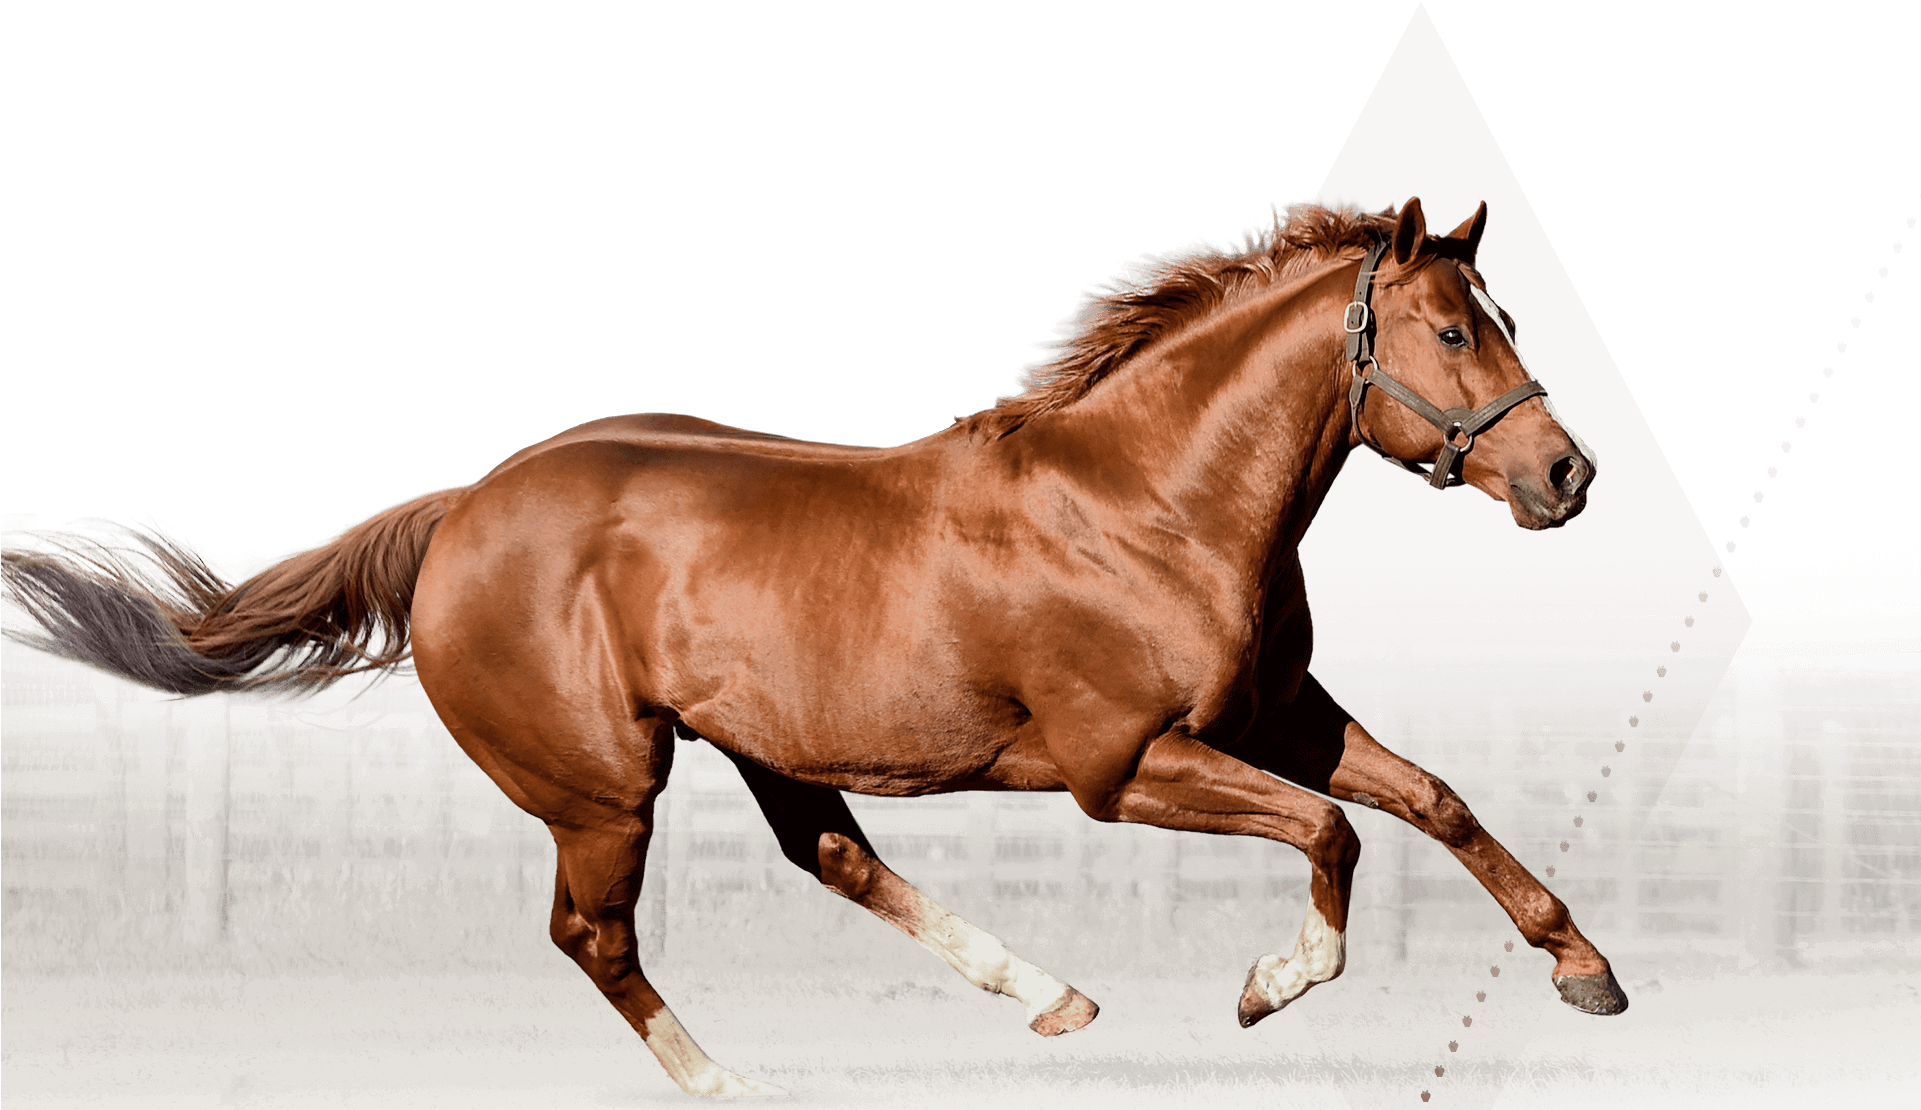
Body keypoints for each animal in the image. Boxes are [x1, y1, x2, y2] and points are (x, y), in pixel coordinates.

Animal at [3, 196, 1625, 1102]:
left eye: (1491, 318)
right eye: (1451, 331)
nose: (1569, 475)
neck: (1149, 499)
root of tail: (467, 507)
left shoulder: (1278, 714)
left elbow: (1434, 801)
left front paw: (1588, 974)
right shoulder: (1124, 765)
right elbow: (1334, 834)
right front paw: (1268, 986)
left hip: (762, 746)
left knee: (832, 856)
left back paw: (1048, 996)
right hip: (607, 786)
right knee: (595, 935)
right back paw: (735, 1082)